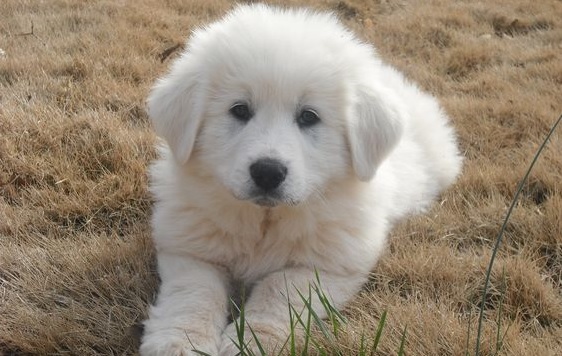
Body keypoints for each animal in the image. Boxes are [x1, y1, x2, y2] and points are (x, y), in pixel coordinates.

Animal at [140, 3, 460, 356]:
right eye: (240, 110)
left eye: (309, 117)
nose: (268, 172)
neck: (265, 221)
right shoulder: (189, 250)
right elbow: (194, 294)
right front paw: (180, 342)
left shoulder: (328, 266)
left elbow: (278, 290)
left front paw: (253, 342)